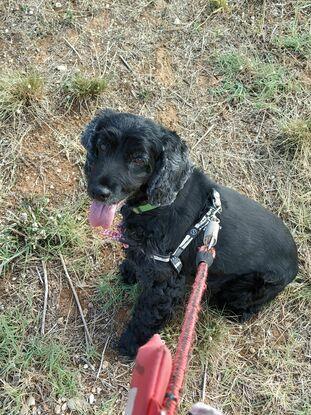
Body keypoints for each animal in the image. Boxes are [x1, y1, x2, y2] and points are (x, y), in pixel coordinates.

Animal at [81, 109, 298, 360]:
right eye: (103, 145)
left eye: (138, 159)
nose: (98, 191)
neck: (161, 203)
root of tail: (297, 264)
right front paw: (128, 273)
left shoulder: (165, 281)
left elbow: (147, 315)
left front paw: (131, 344)